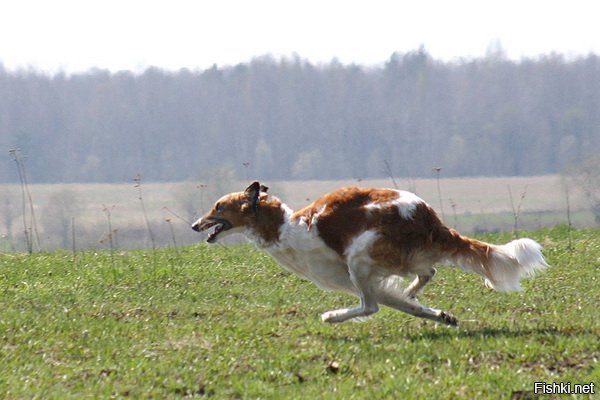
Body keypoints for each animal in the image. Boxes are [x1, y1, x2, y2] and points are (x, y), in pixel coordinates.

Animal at [192, 181, 548, 324]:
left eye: (217, 207)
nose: (195, 225)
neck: (285, 227)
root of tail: (427, 217)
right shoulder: (365, 279)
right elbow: (408, 306)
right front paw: (442, 316)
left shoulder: (354, 275)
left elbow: (374, 304)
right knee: (425, 274)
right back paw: (417, 294)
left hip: (359, 258)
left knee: (371, 305)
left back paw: (333, 317)